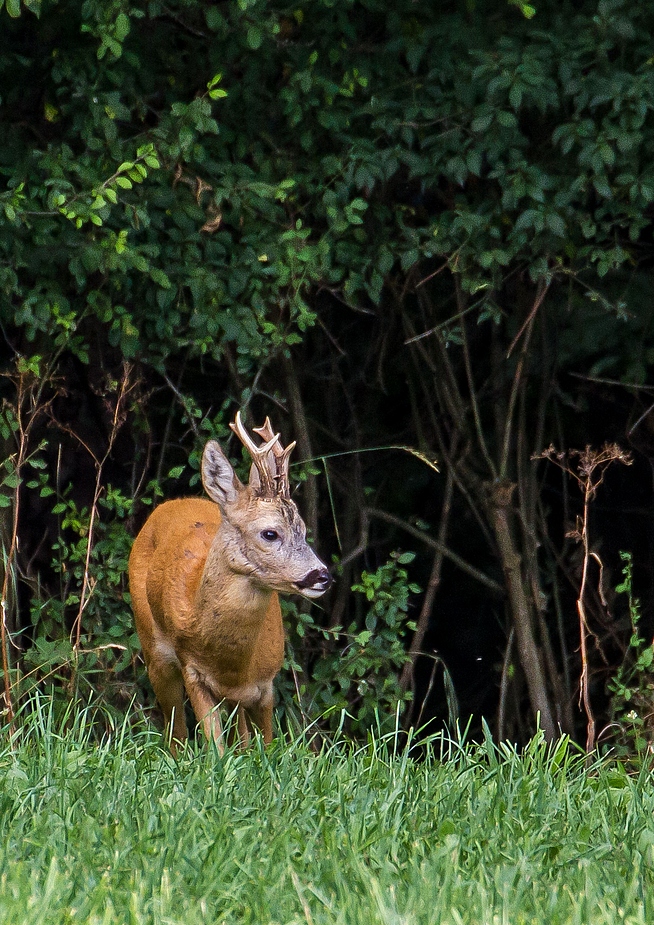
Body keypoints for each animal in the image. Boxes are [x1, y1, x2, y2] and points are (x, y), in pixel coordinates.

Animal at [129, 412, 334, 752]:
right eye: (270, 533)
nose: (322, 576)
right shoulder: (192, 670)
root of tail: (173, 503)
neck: (232, 664)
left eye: (304, 530)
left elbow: (265, 745)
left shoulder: (266, 683)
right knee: (176, 732)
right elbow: (216, 746)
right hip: (152, 648)